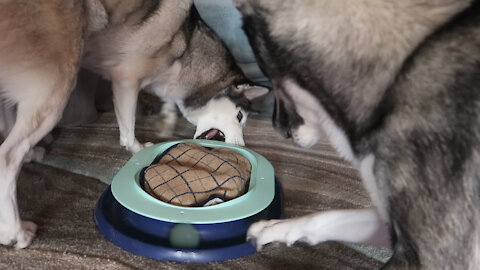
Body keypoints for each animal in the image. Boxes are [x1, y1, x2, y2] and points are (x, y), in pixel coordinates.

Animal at [0, 0, 266, 249]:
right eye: (240, 117)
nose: (244, 148)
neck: (187, 44)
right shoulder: (126, 79)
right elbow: (128, 124)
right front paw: (137, 148)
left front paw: (165, 120)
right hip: (57, 84)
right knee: (8, 156)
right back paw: (17, 232)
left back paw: (31, 154)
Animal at [235, 0, 480, 268]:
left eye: (272, 75)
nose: (279, 129)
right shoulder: (389, 223)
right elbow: (328, 217)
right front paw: (277, 227)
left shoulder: (429, 256)